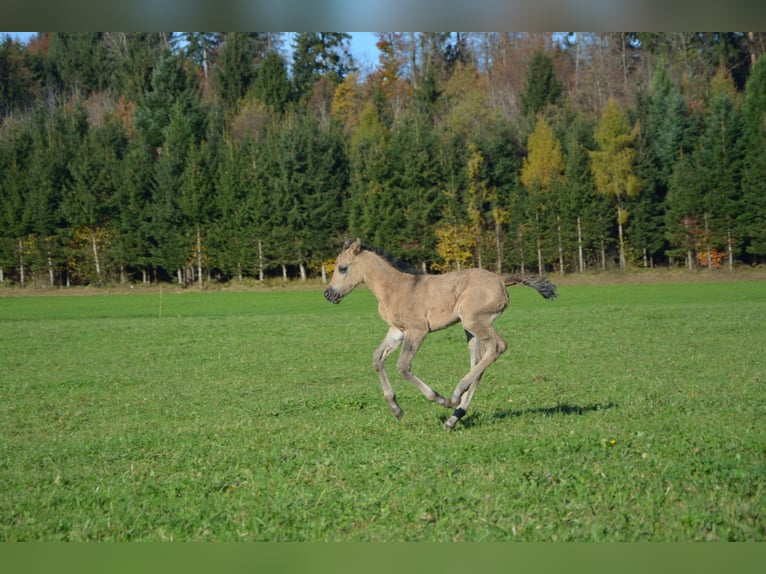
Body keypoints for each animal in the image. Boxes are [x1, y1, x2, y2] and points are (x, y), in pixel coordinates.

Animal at [323, 238, 558, 429]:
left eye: (342, 268)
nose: (328, 294)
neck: (395, 288)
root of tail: (501, 280)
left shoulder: (417, 330)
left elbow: (403, 367)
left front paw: (440, 399)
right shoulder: (397, 330)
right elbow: (377, 358)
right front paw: (396, 409)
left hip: (474, 321)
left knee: (498, 347)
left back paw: (455, 396)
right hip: (471, 328)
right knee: (479, 362)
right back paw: (455, 417)